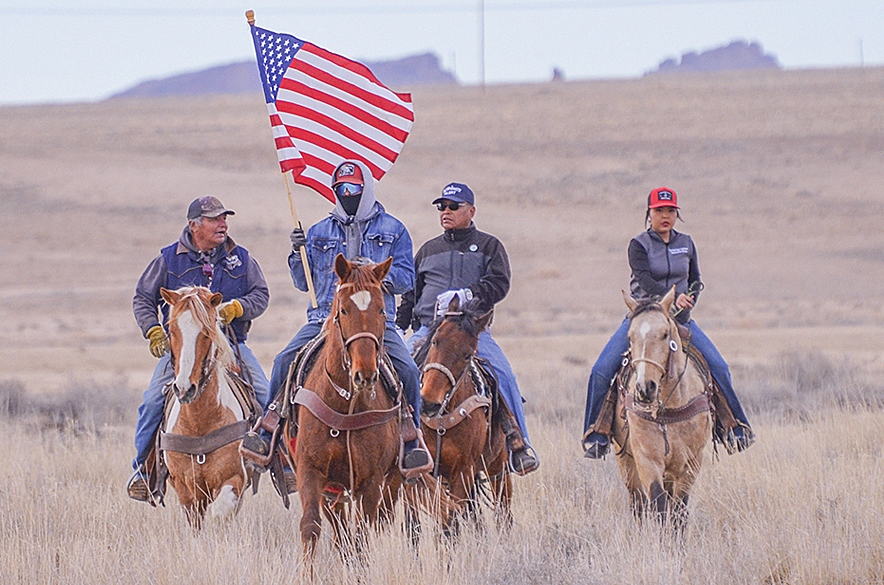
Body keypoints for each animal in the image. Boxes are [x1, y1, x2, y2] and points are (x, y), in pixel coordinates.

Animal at [159, 288, 254, 528]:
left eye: (207, 332)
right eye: (172, 330)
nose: (185, 389)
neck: (198, 424)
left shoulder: (234, 478)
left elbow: (221, 512)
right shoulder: (186, 489)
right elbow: (195, 522)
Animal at [412, 296, 512, 528]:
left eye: (467, 355)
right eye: (435, 341)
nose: (429, 402)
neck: (441, 422)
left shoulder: (463, 471)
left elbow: (450, 520)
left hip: (498, 467)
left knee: (503, 511)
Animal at [612, 286, 716, 528]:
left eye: (665, 334)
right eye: (630, 337)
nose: (645, 388)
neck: (668, 408)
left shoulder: (690, 464)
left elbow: (678, 512)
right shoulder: (647, 461)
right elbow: (658, 507)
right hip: (626, 462)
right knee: (638, 504)